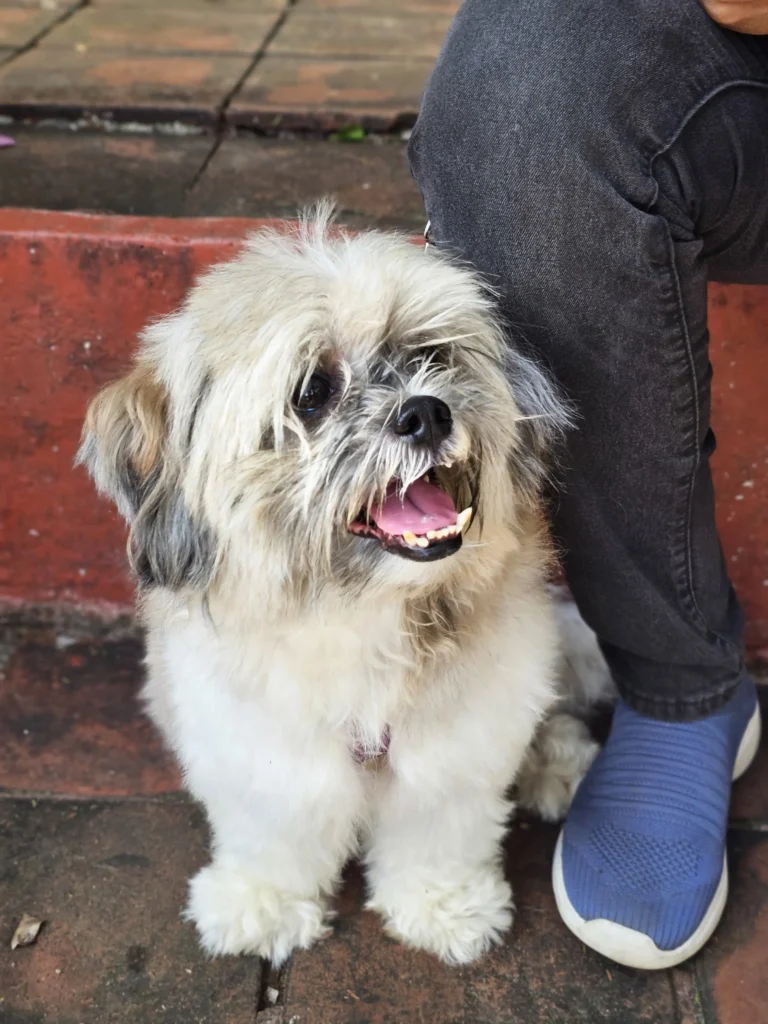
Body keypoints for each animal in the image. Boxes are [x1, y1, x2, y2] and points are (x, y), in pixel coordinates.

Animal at [79, 205, 614, 966]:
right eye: (312, 394)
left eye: (431, 356)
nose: (426, 411)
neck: (359, 612)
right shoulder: (257, 748)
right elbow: (272, 834)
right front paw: (262, 904)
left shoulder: (456, 744)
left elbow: (439, 833)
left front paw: (443, 906)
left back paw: (557, 765)